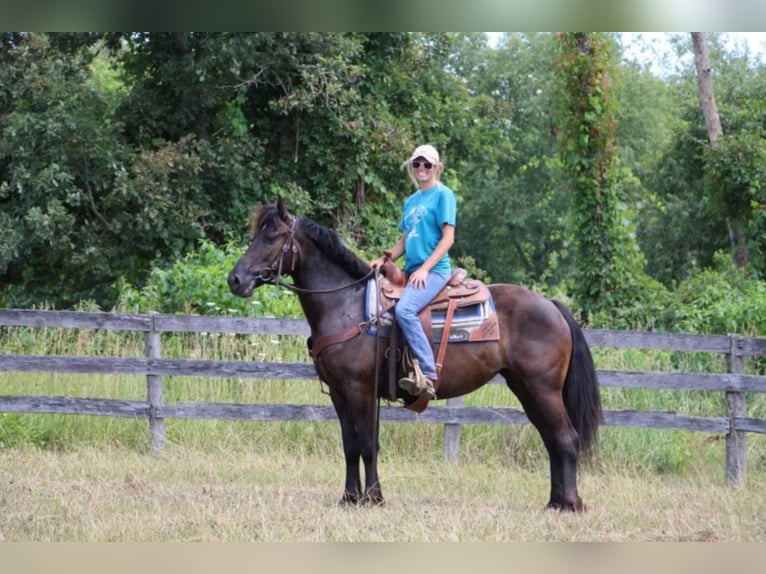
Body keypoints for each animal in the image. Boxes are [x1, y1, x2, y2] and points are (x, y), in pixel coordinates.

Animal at [231, 199, 604, 512]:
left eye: (272, 235)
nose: (235, 279)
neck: (346, 305)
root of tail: (551, 306)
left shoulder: (361, 389)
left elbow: (367, 444)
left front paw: (373, 498)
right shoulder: (338, 392)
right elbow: (350, 445)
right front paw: (349, 497)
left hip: (543, 389)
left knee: (566, 438)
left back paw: (570, 504)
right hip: (526, 388)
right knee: (552, 439)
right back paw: (555, 501)